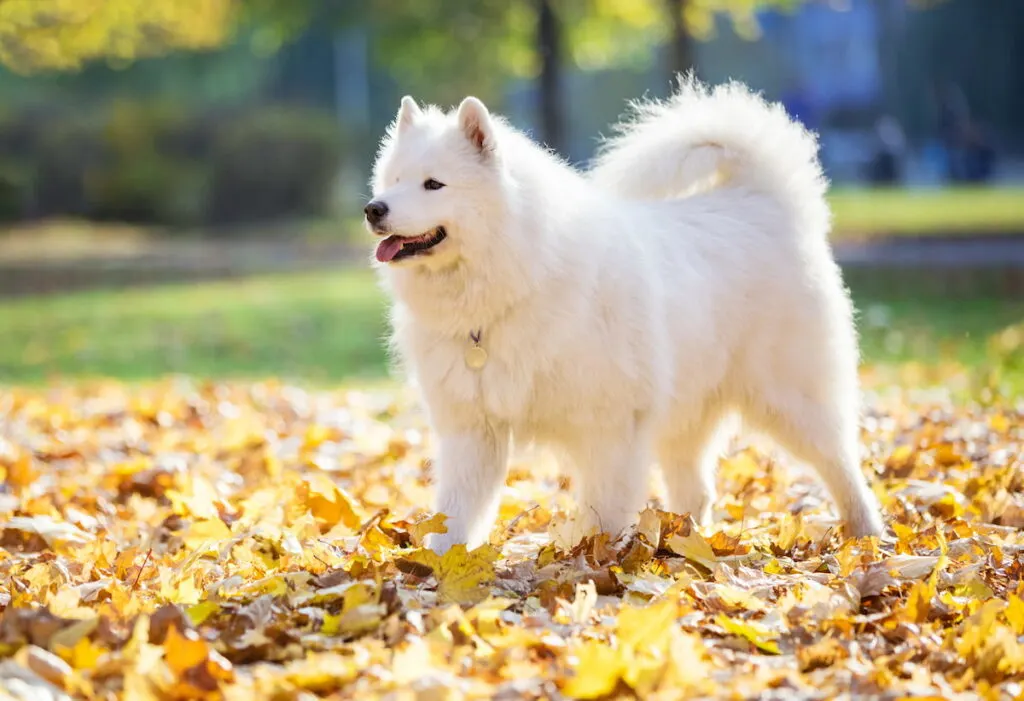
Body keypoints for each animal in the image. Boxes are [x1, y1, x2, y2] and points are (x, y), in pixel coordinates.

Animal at [364, 76, 884, 556]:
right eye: (393, 181)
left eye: (433, 184)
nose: (374, 209)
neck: (518, 278)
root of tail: (763, 201)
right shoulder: (474, 429)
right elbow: (456, 512)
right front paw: (438, 565)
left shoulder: (610, 426)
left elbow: (606, 509)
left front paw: (599, 563)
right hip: (687, 413)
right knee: (697, 492)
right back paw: (686, 545)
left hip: (793, 400)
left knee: (841, 464)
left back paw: (867, 534)